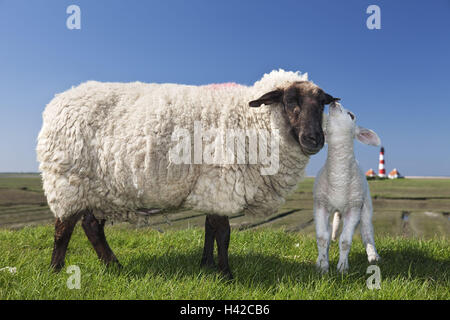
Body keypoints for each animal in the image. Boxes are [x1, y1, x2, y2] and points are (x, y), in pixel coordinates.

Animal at [312, 102, 380, 272]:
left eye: (351, 115)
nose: (334, 103)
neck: (339, 180)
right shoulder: (320, 205)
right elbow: (322, 238)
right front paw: (322, 265)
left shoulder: (353, 208)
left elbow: (345, 241)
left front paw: (342, 267)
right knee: (330, 230)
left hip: (366, 206)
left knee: (367, 231)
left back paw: (373, 255)